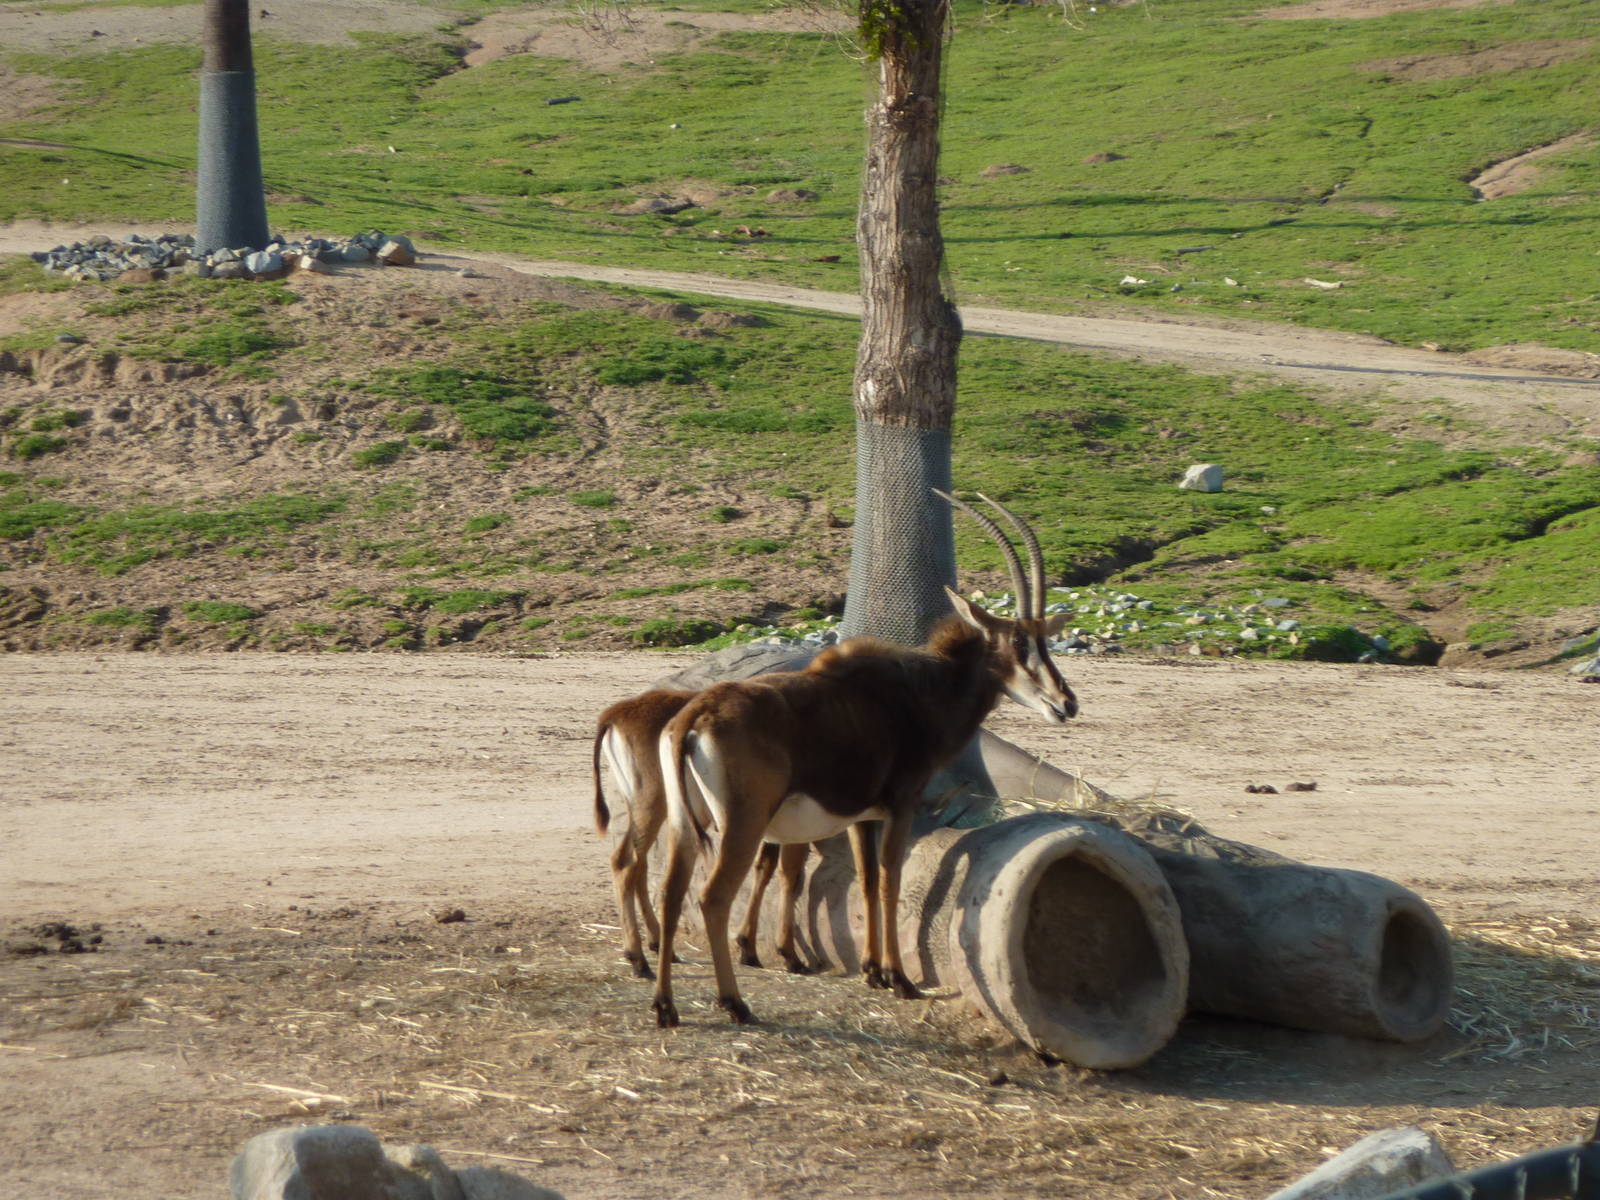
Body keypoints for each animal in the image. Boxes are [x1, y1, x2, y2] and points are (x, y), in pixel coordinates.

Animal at [593, 692, 817, 979]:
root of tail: (615, 714)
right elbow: (790, 875)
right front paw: (790, 955)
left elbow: (764, 868)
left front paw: (748, 947)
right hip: (654, 804)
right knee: (625, 862)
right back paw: (638, 960)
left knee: (638, 865)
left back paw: (658, 944)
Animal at [650, 490, 1076, 1027]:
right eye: (1018, 642)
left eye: (1044, 640)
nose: (1066, 703)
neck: (920, 691)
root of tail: (695, 715)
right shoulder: (901, 804)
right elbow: (892, 880)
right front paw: (901, 979)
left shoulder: (861, 816)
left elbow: (868, 881)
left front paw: (875, 971)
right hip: (742, 824)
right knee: (712, 897)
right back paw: (734, 1002)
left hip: (687, 825)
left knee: (671, 894)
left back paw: (665, 1006)